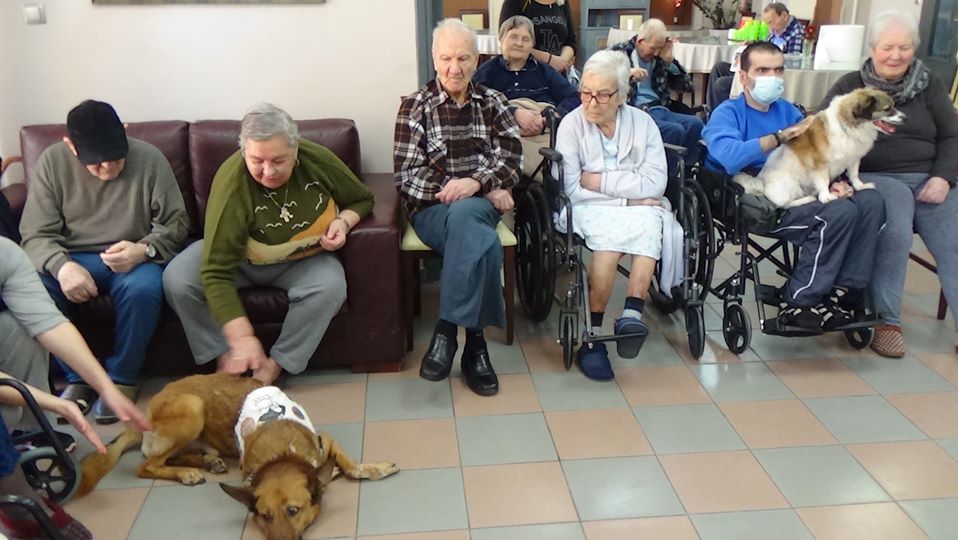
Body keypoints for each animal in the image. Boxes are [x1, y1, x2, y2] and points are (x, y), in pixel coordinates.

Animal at [78, 373, 398, 540]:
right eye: (264, 516)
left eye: (293, 511)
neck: (282, 453)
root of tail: (144, 413)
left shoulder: (325, 441)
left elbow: (351, 465)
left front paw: (373, 468)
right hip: (192, 407)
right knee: (147, 465)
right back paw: (188, 473)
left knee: (172, 457)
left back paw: (205, 462)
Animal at [734, 87, 905, 208]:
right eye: (887, 109)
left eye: (893, 106)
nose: (905, 117)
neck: (847, 126)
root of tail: (761, 183)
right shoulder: (820, 163)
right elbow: (823, 180)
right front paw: (826, 196)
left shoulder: (853, 158)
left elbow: (854, 174)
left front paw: (860, 186)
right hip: (790, 183)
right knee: (784, 204)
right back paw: (807, 199)